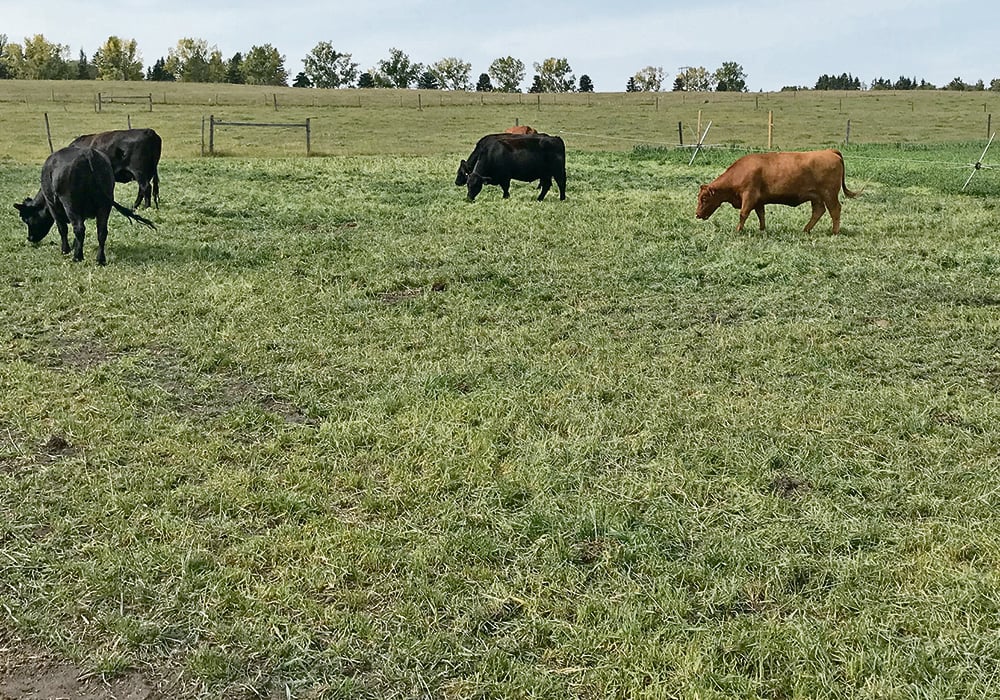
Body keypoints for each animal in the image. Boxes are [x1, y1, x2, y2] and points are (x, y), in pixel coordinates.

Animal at [14, 146, 156, 266]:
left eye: (26, 219)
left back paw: (77, 257)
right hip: (104, 205)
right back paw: (100, 259)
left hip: (70, 204)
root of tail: (88, 154)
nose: (30, 238)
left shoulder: (53, 207)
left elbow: (62, 228)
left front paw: (65, 250)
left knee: (79, 228)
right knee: (101, 231)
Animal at [696, 149, 862, 234]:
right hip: (816, 197)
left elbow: (743, 214)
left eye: (704, 199)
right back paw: (806, 229)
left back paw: (834, 231)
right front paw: (762, 229)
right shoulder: (759, 200)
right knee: (818, 211)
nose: (697, 214)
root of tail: (829, 151)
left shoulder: (749, 196)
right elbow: (761, 215)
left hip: (829, 194)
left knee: (835, 210)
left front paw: (738, 230)